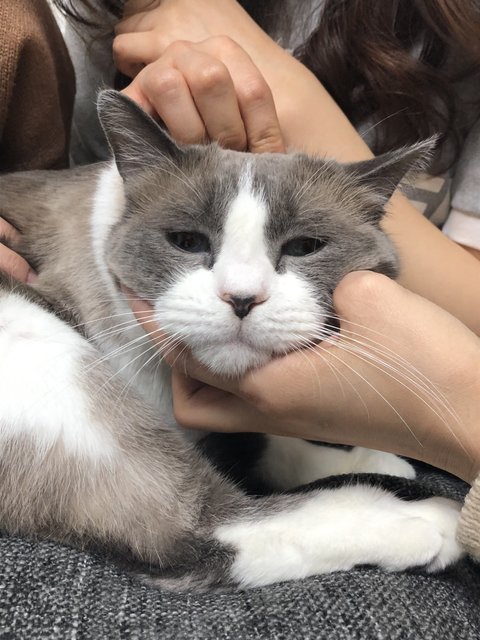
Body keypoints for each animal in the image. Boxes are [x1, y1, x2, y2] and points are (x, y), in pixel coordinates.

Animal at [0, 90, 462, 590]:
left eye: (304, 247)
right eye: (186, 241)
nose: (241, 298)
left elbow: (272, 445)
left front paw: (370, 462)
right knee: (197, 533)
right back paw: (430, 522)